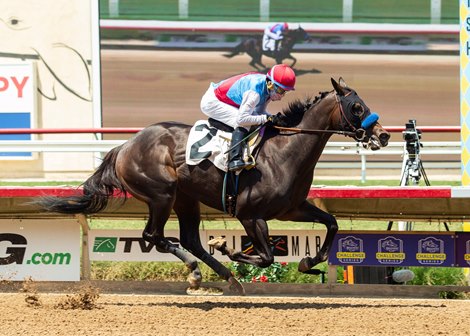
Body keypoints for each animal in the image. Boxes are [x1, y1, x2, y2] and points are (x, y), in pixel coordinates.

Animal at [35, 78, 390, 294]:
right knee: (155, 236)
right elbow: (265, 257)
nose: (383, 135)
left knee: (189, 239)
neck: (283, 152)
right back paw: (198, 271)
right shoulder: (250, 214)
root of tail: (124, 146)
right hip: (162, 194)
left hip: (185, 199)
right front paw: (227, 247)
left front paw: (306, 262)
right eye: (357, 107)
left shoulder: (291, 209)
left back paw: (225, 277)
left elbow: (331, 224)